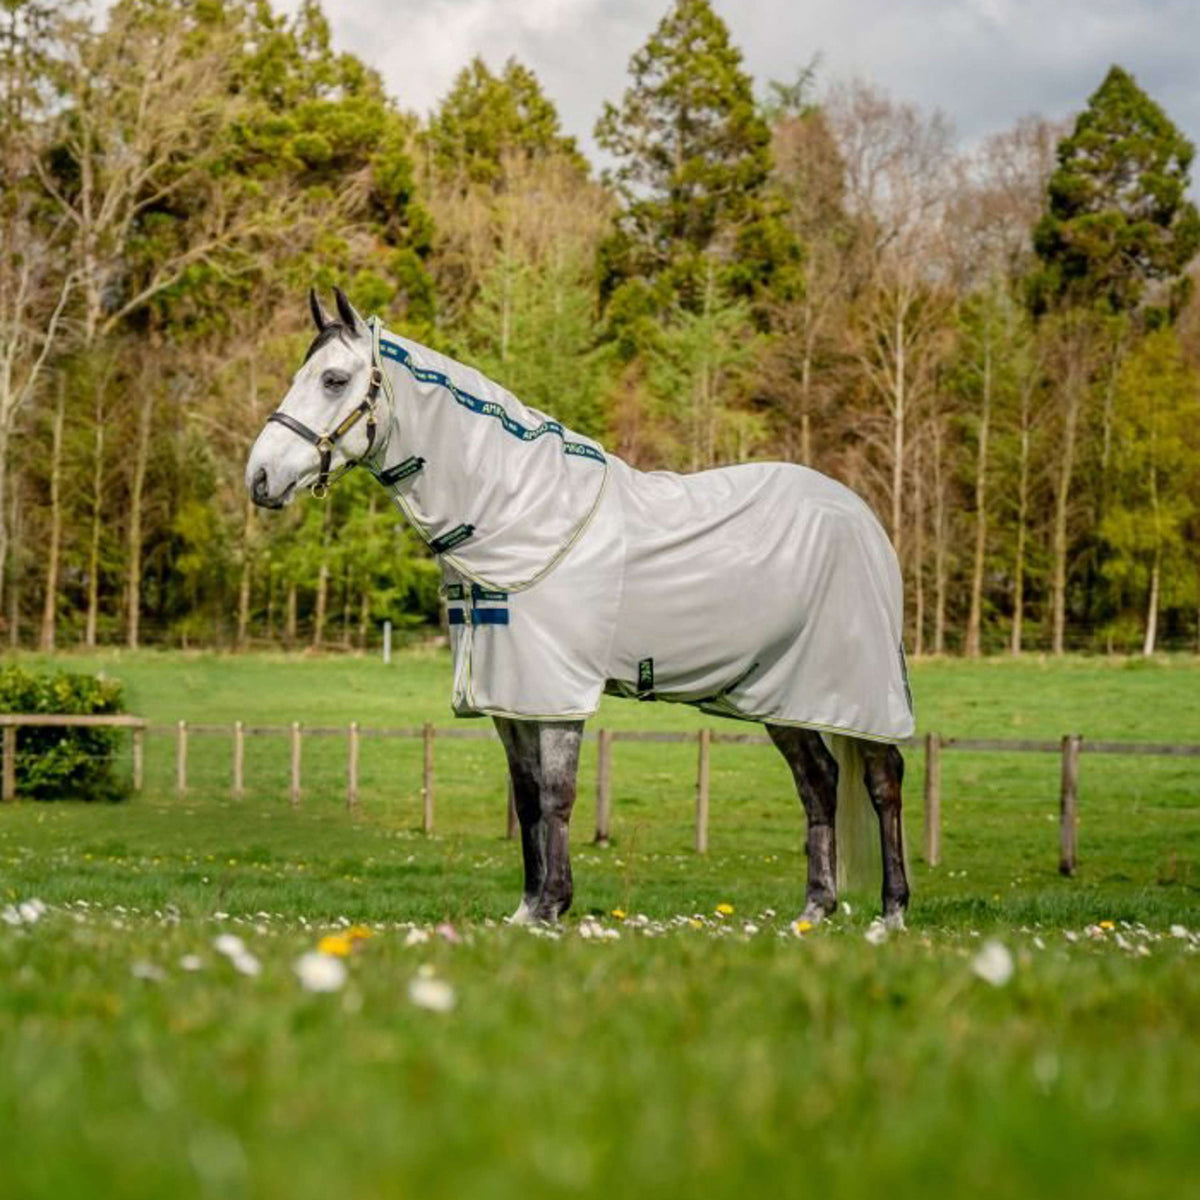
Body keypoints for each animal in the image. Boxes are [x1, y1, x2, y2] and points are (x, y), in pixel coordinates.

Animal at [248, 288, 912, 926]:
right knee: (818, 782)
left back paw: (892, 913)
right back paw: (814, 911)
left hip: (862, 690)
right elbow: (524, 796)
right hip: (783, 693)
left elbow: (556, 794)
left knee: (883, 779)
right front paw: (526, 909)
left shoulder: (556, 694)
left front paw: (552, 906)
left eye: (334, 379)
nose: (260, 477)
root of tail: (861, 517)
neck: (523, 513)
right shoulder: (511, 697)